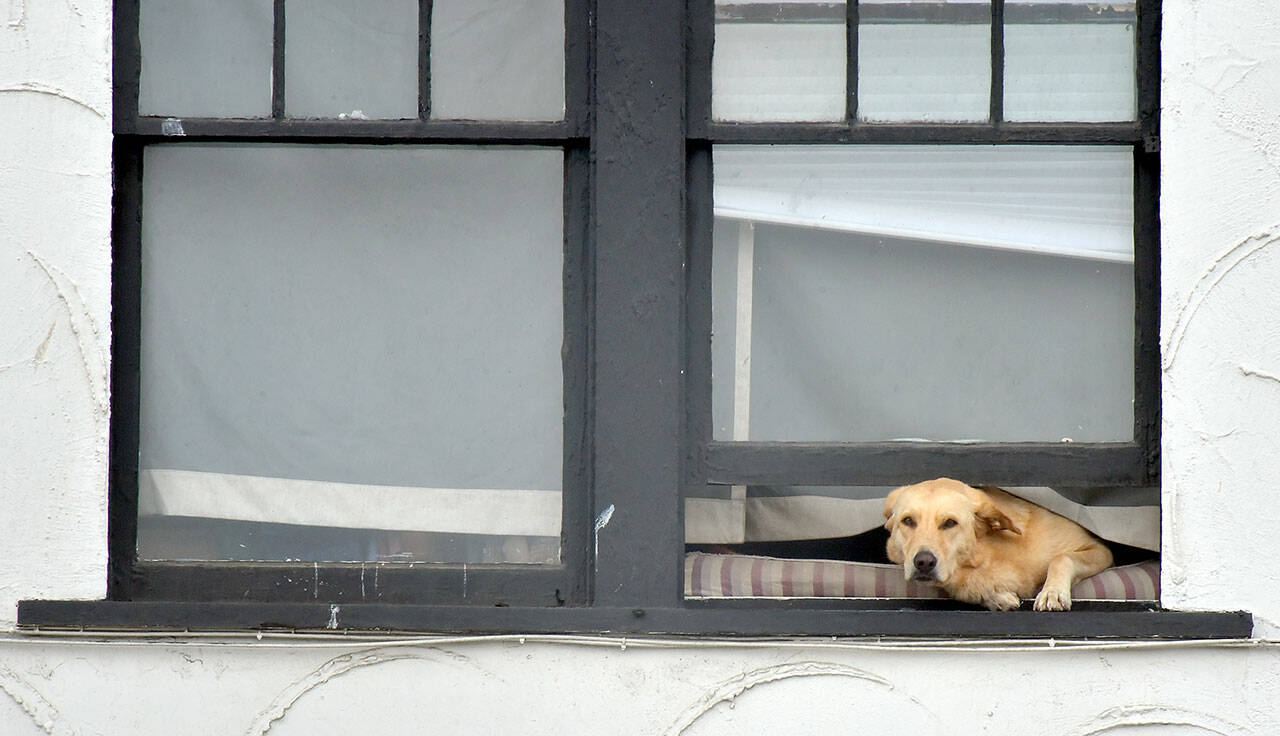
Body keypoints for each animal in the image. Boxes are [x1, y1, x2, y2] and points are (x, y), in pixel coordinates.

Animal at [880, 478, 1111, 609]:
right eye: (908, 521)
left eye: (950, 522)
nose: (924, 562)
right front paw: (996, 597)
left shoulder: (1101, 550)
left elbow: (1062, 558)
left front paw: (1052, 592)